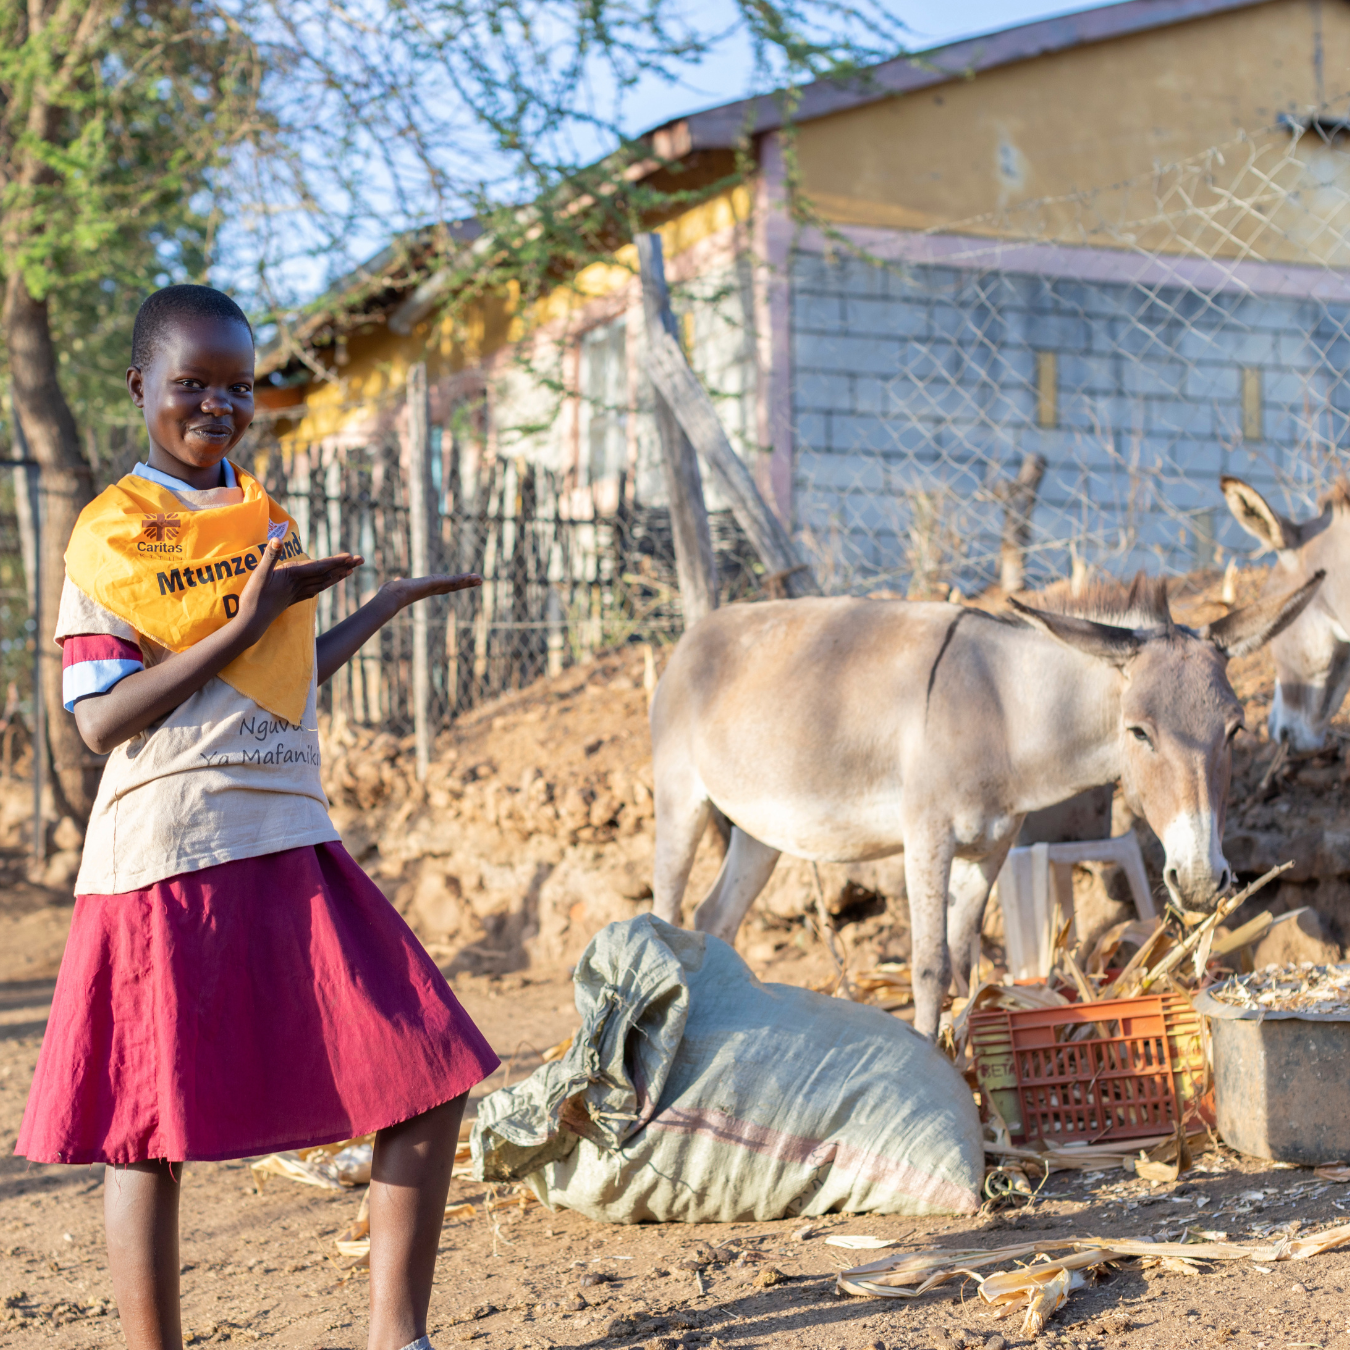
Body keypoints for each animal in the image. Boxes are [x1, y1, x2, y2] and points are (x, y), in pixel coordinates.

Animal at [649, 573, 1321, 1038]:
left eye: (1235, 730)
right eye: (1139, 733)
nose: (1204, 881)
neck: (1002, 709)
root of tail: (694, 633)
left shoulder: (991, 846)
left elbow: (965, 965)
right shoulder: (927, 836)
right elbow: (928, 966)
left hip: (759, 831)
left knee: (715, 918)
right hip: (680, 798)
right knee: (668, 909)